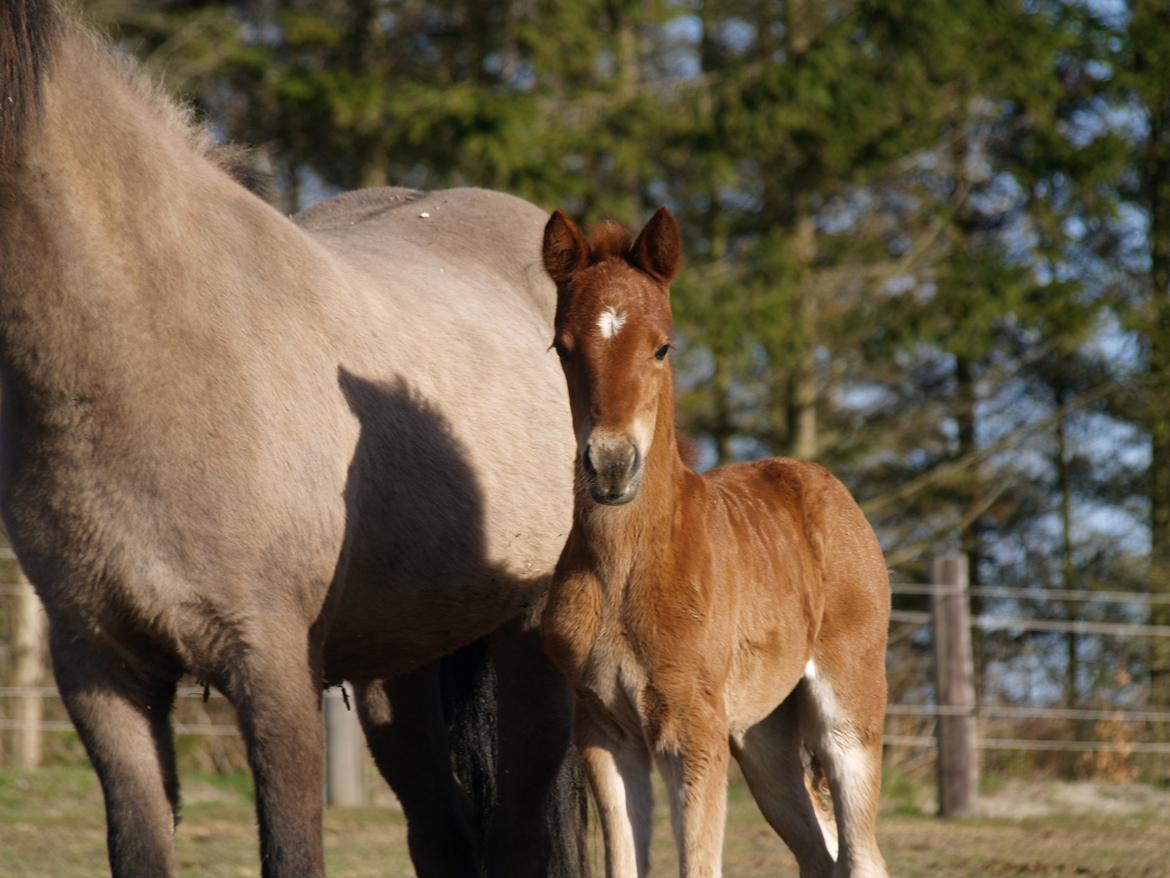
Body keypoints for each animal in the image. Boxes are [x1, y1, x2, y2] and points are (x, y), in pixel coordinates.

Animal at [538, 209, 884, 875]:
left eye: (662, 347)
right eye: (562, 349)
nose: (612, 466)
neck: (626, 570)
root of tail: (825, 486)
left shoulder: (692, 732)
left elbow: (699, 864)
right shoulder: (603, 734)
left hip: (848, 713)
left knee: (861, 853)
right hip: (763, 735)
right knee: (819, 852)